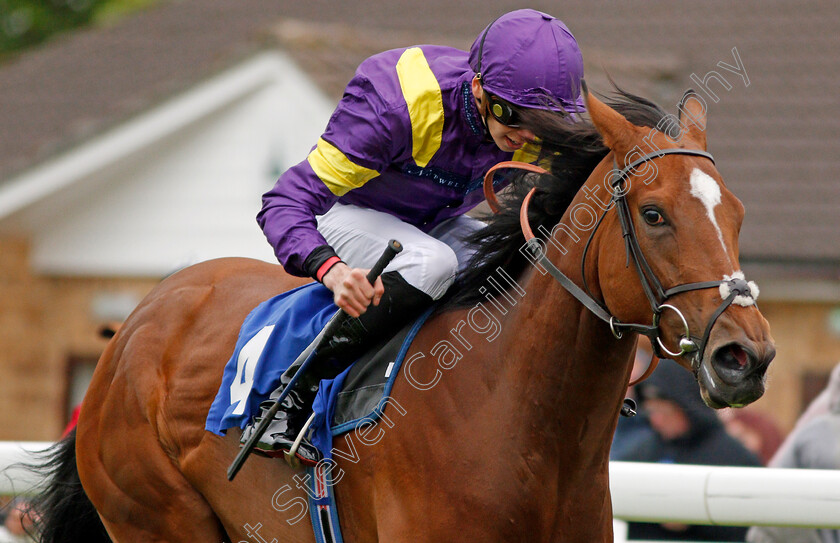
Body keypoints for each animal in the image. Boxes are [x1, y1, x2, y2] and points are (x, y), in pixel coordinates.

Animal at [34, 87, 776, 540]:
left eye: (738, 213)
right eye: (654, 214)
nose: (746, 354)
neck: (515, 413)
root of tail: (134, 326)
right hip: (155, 513)